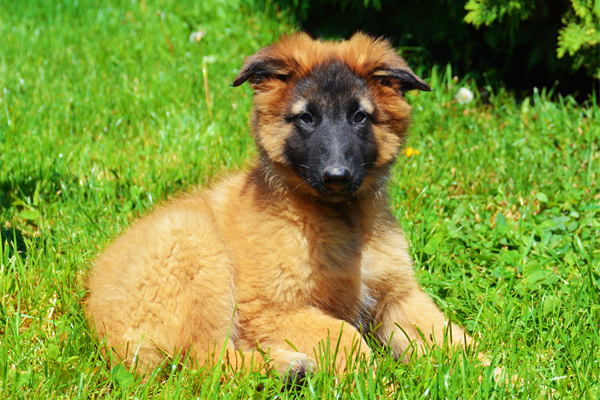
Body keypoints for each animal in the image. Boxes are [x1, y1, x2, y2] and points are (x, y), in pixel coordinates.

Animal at [83, 32, 474, 378]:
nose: (337, 176)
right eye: (306, 117)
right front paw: (375, 380)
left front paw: (485, 369)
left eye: (360, 116)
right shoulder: (270, 309)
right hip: (196, 252)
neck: (340, 217)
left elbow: (447, 335)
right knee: (205, 361)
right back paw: (289, 368)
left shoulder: (398, 297)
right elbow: (345, 335)